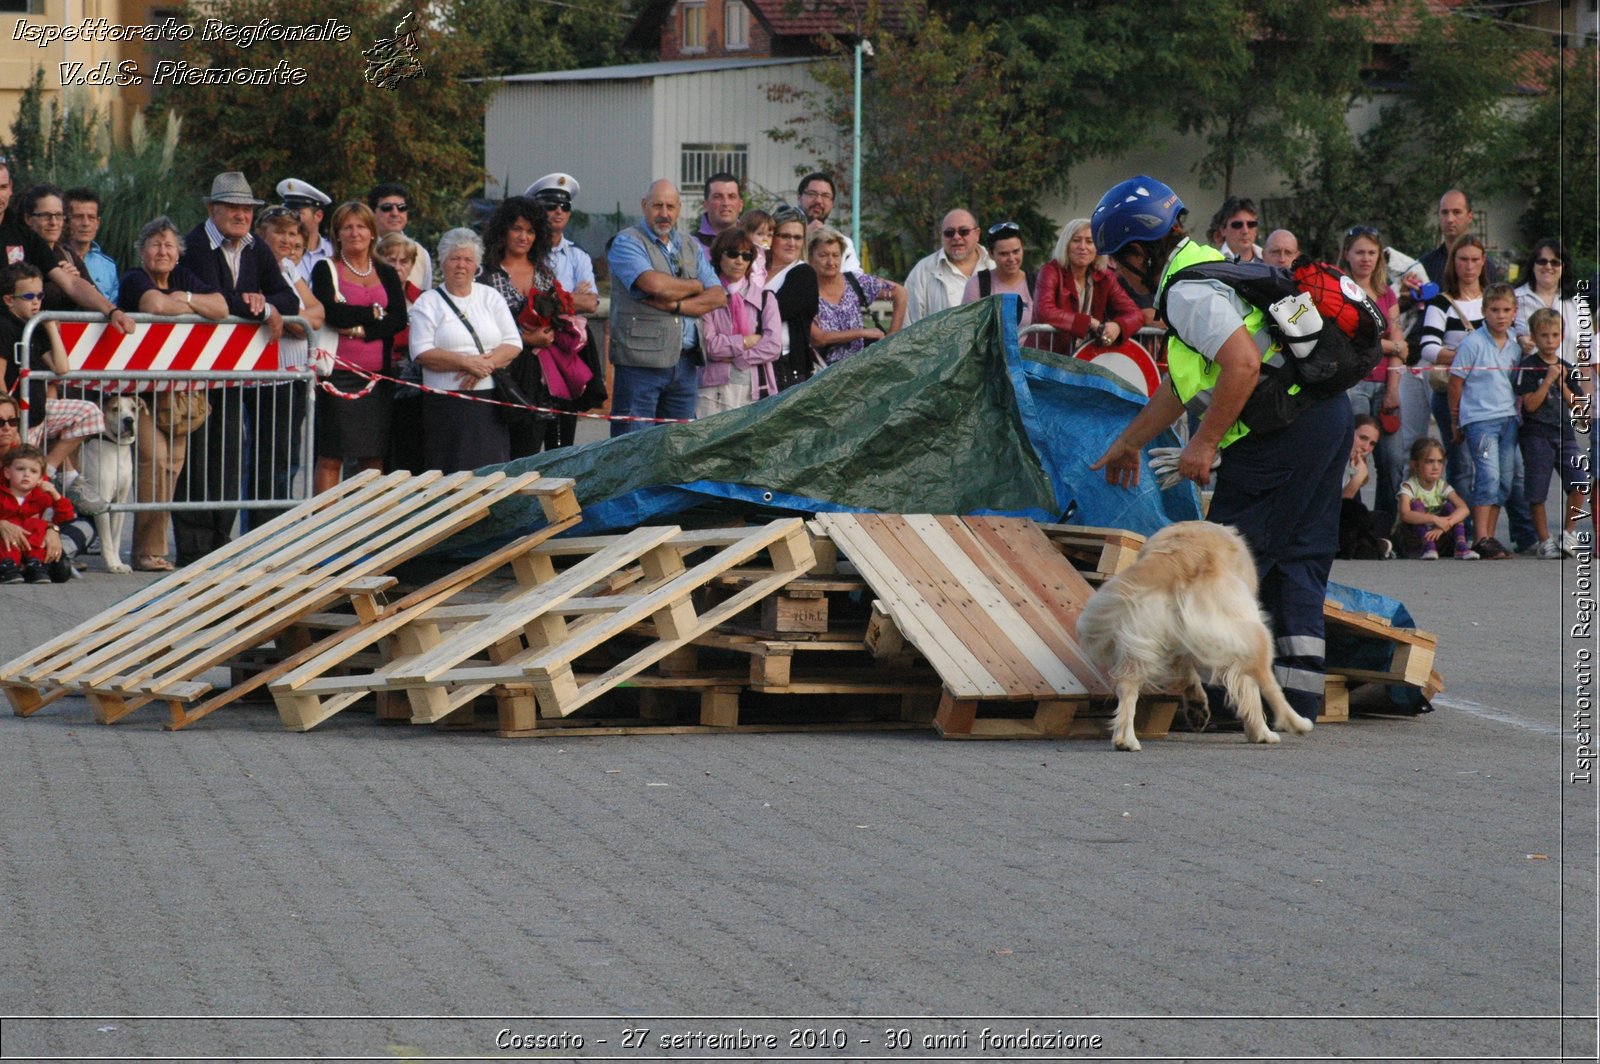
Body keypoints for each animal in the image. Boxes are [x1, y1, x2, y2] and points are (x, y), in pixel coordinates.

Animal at [1075, 518, 1312, 752]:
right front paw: (1258, 732)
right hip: (1252, 632)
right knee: (1268, 684)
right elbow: (1250, 691)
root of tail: (1182, 556)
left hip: (1143, 635)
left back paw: (1126, 740)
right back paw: (1294, 724)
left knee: (1128, 684)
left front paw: (1197, 706)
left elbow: (1187, 674)